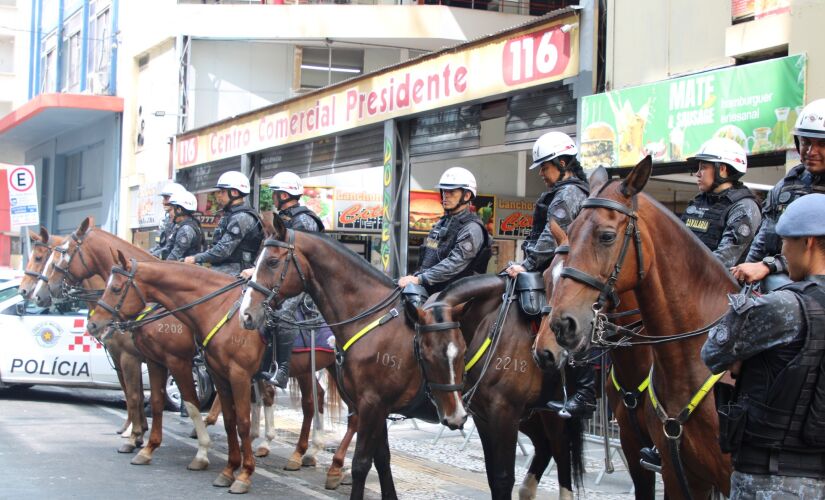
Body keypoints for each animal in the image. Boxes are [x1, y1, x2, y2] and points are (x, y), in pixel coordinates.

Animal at [31, 218, 214, 468]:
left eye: (62, 253)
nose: (41, 293)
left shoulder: (142, 357)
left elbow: (136, 395)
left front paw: (134, 436)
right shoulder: (134, 357)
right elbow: (136, 394)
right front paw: (137, 435)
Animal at [238, 216, 470, 500]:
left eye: (272, 261)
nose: (246, 314)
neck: (372, 320)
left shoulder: (372, 404)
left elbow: (361, 463)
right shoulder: (372, 405)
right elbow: (382, 460)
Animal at [408, 274, 584, 500]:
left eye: (462, 350)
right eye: (423, 354)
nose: (455, 416)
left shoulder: (504, 414)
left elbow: (503, 477)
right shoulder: (484, 416)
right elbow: (492, 476)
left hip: (553, 412)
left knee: (560, 449)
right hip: (531, 414)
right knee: (544, 446)